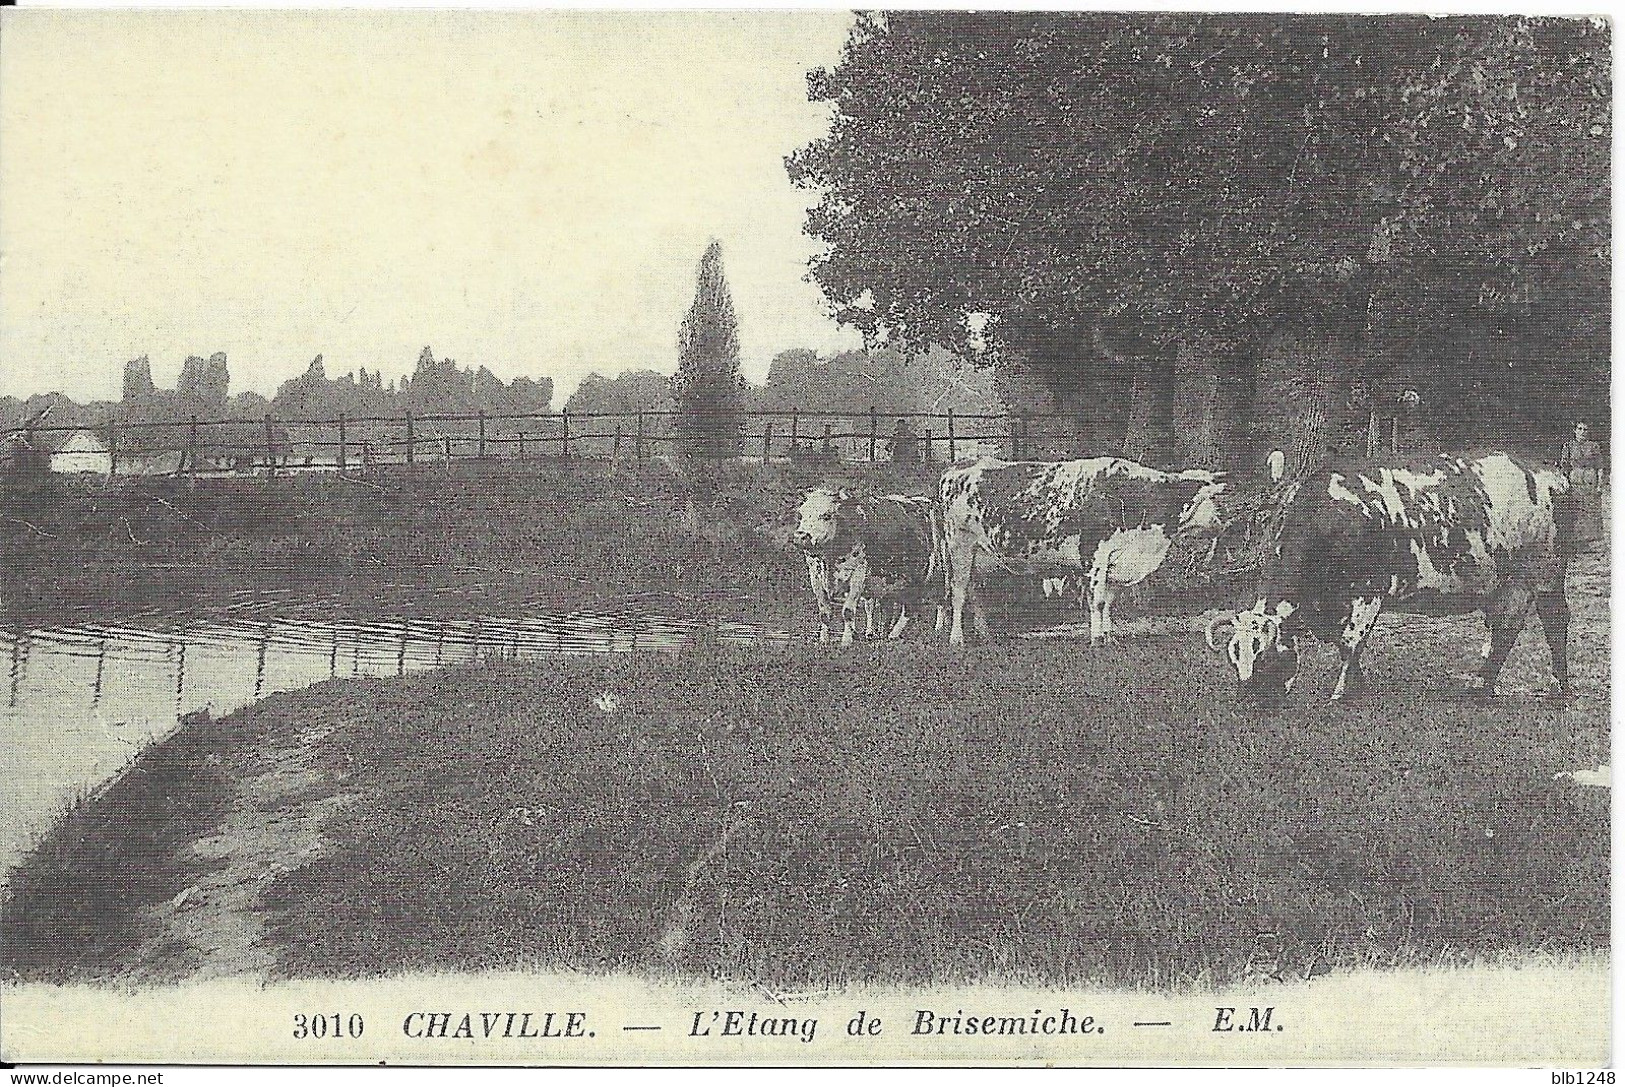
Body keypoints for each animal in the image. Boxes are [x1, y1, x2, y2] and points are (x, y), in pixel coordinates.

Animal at [793, 484, 949, 643]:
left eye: (826, 515)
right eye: (801, 514)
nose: (801, 536)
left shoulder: (859, 572)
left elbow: (848, 610)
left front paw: (846, 641)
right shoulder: (816, 573)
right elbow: (824, 612)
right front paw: (824, 640)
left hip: (938, 572)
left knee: (930, 602)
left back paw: (921, 631)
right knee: (884, 605)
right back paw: (879, 632)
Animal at [942, 454, 1228, 643]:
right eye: (1209, 500)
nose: (1222, 523)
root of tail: (959, 465)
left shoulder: (1115, 560)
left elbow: (1109, 599)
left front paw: (1108, 636)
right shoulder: (1095, 555)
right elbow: (1098, 601)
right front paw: (1096, 639)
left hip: (978, 555)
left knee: (974, 591)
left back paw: (984, 634)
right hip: (958, 546)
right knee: (958, 592)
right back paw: (956, 638)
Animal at [1209, 448, 1573, 705]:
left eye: (1262, 655)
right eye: (1234, 654)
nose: (1248, 699)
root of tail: (1550, 472)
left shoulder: (1368, 591)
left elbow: (1350, 641)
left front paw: (1341, 694)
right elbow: (1342, 643)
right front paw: (1359, 688)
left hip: (1546, 572)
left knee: (1554, 622)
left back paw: (1557, 690)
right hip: (1506, 582)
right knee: (1504, 628)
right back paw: (1483, 689)